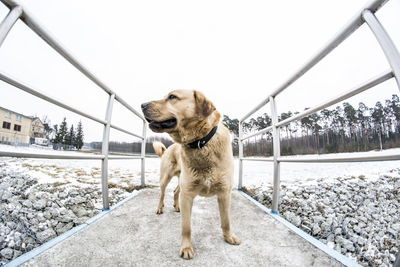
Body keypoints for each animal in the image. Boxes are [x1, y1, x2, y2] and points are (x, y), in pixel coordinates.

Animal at [141, 90, 241, 260]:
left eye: (172, 97)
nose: (142, 104)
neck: (201, 143)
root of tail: (169, 148)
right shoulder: (187, 195)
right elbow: (186, 227)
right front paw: (186, 248)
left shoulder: (224, 193)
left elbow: (226, 220)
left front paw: (229, 237)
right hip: (165, 178)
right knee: (162, 193)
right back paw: (160, 208)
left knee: (175, 191)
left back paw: (176, 207)